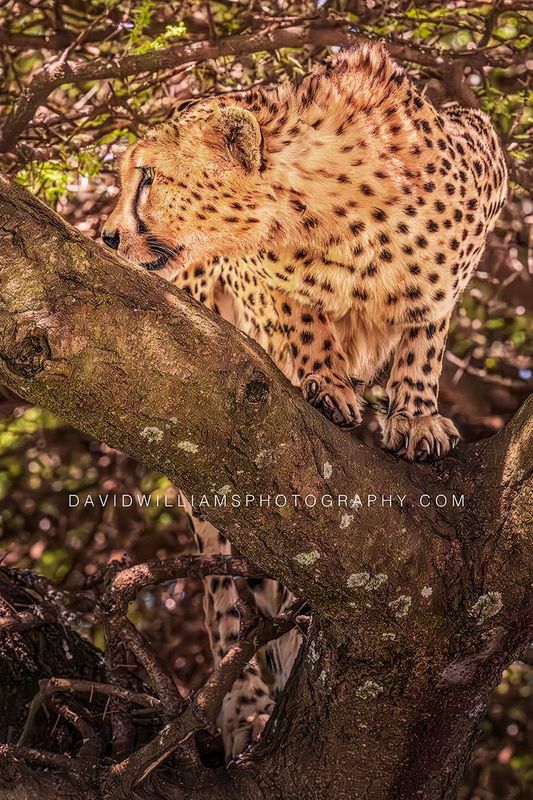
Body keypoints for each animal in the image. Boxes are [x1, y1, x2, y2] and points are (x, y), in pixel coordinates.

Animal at [102, 41, 507, 758]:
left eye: (147, 178)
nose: (106, 237)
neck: (336, 208)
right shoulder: (250, 276)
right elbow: (297, 310)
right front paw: (325, 382)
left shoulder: (481, 169)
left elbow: (425, 323)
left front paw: (415, 415)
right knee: (227, 594)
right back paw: (246, 706)